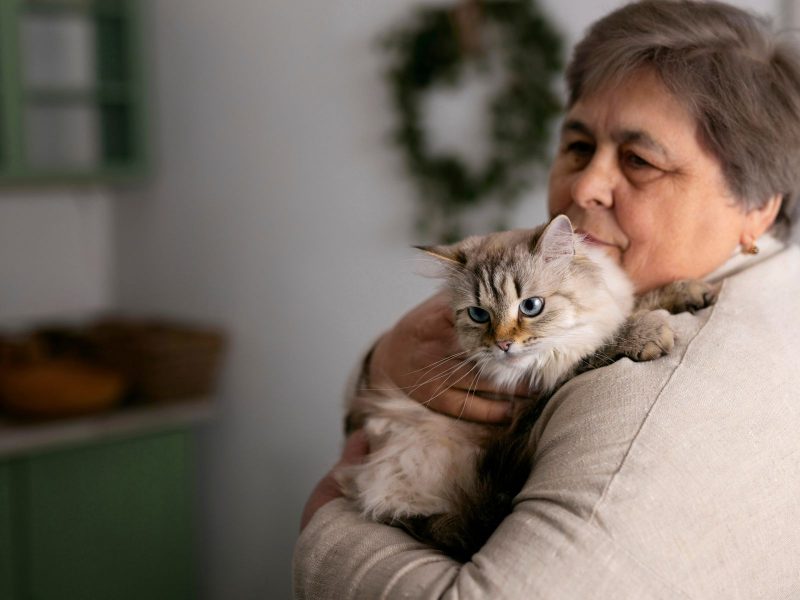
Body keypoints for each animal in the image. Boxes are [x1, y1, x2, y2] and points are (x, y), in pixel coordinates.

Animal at [340, 217, 716, 564]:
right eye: (478, 315)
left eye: (531, 307)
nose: (503, 345)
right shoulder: (539, 387)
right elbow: (602, 345)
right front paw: (646, 333)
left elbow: (639, 304)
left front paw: (692, 292)